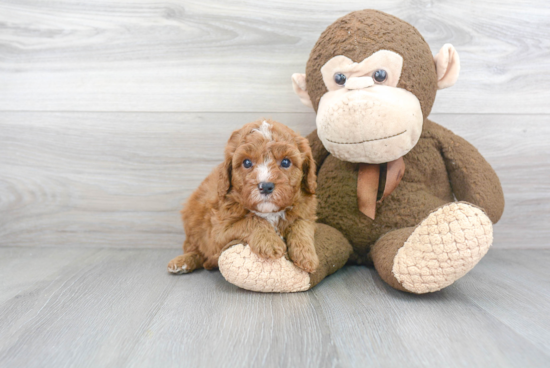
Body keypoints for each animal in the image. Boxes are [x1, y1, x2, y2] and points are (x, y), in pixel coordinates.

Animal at [167, 119, 320, 274]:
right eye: (246, 162)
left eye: (286, 162)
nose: (265, 186)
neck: (269, 212)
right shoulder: (218, 232)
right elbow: (252, 220)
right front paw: (270, 242)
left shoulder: (307, 214)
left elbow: (301, 225)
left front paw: (307, 255)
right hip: (193, 224)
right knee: (196, 249)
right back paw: (182, 262)